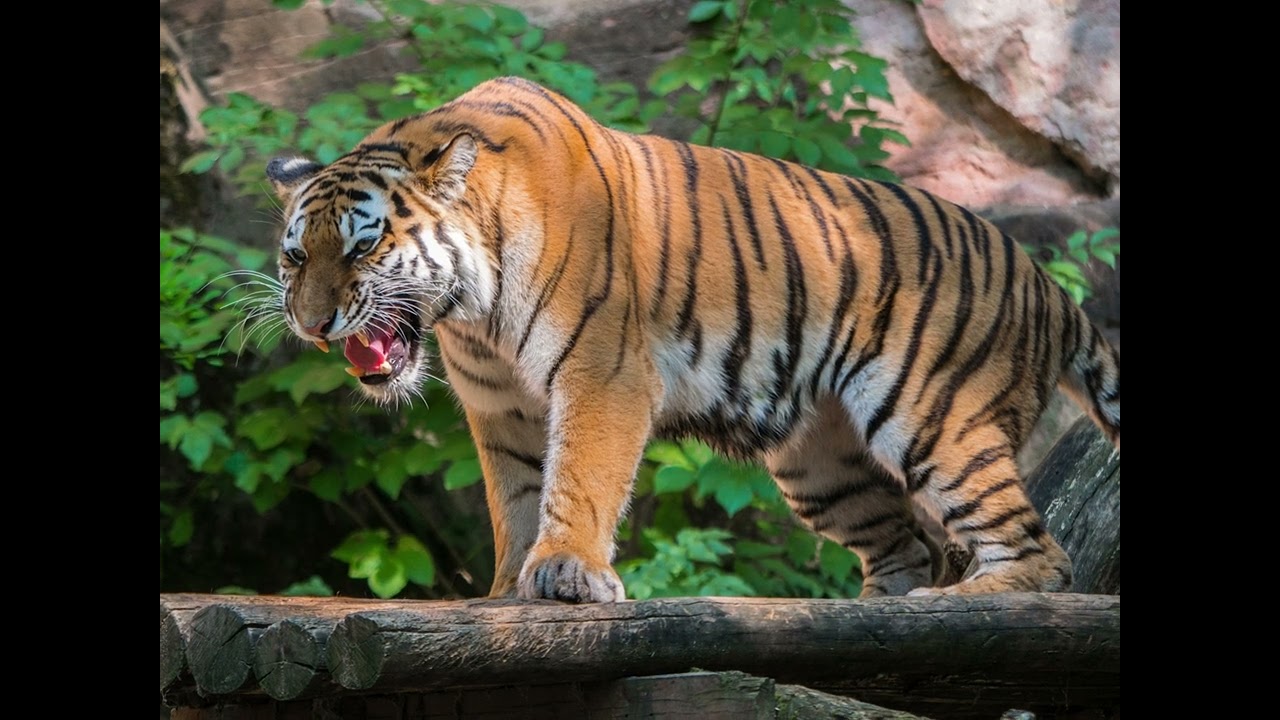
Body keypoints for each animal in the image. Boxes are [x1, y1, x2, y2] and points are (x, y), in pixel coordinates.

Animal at [265, 76, 1120, 602]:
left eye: (362, 249)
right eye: (297, 255)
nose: (311, 322)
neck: (472, 313)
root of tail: (1048, 285)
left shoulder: (602, 373)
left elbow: (579, 475)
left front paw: (567, 573)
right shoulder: (499, 408)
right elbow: (515, 495)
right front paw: (508, 590)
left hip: (937, 420)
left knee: (1042, 555)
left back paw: (968, 596)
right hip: (820, 465)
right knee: (911, 546)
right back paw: (880, 606)